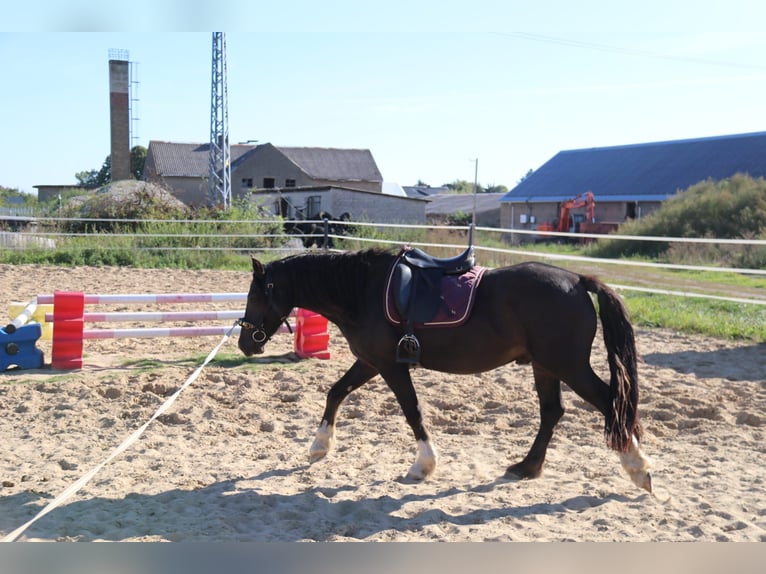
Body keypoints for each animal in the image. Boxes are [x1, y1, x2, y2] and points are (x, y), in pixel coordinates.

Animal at [236, 248, 652, 492]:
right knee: (553, 412)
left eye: (256, 294)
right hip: (545, 366)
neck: (362, 290)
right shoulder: (370, 361)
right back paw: (527, 467)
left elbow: (412, 410)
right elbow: (336, 391)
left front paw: (424, 465)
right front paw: (319, 447)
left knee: (610, 402)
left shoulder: (389, 365)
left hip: (567, 365)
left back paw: (639, 469)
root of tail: (578, 281)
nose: (245, 343)